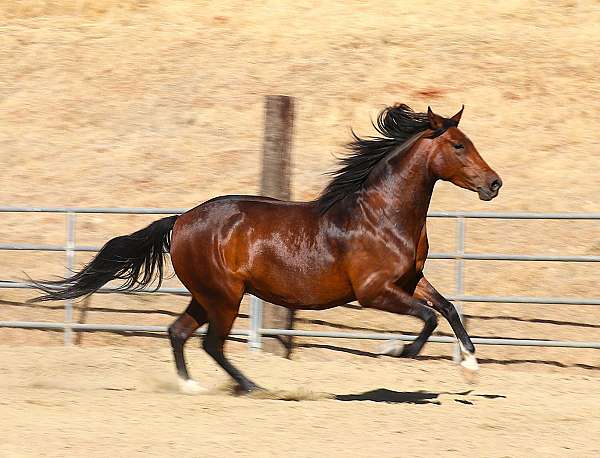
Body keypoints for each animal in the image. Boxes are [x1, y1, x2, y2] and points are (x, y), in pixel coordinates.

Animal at [31, 104, 502, 394]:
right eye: (458, 145)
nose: (494, 183)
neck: (382, 215)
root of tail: (180, 220)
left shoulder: (410, 280)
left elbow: (448, 308)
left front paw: (471, 364)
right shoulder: (374, 293)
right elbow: (428, 319)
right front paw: (396, 350)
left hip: (208, 295)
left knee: (179, 332)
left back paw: (192, 386)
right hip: (225, 296)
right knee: (210, 344)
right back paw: (253, 387)